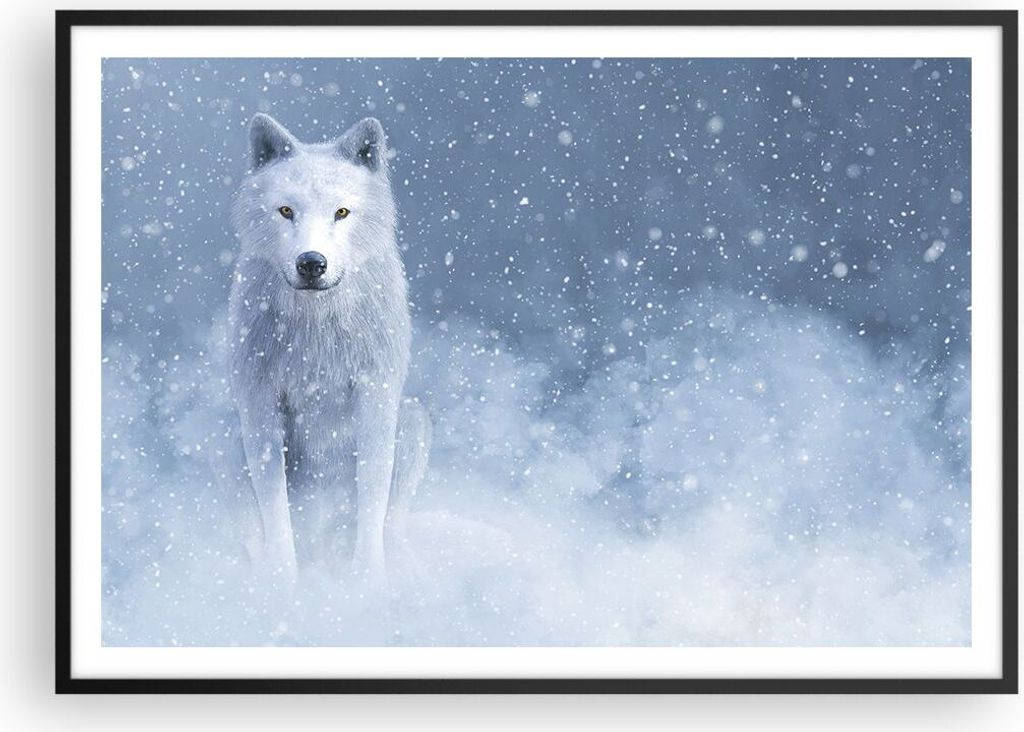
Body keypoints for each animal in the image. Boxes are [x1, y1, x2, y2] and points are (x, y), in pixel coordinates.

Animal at [227, 113, 430, 586]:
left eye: (341, 212)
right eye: (286, 210)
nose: (311, 263)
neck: (316, 329)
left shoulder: (375, 396)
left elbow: (372, 494)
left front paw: (367, 582)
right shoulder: (259, 403)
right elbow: (275, 506)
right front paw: (283, 582)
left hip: (413, 421)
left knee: (391, 521)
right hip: (226, 436)